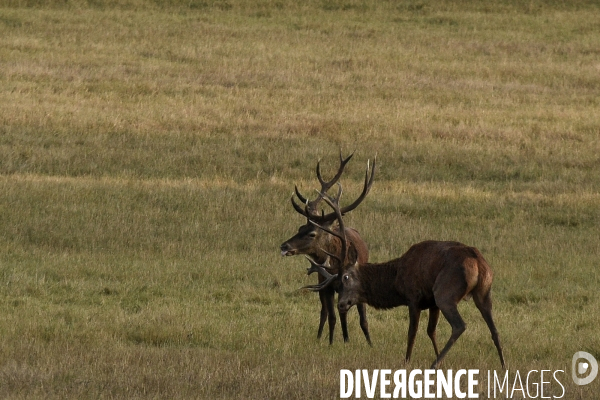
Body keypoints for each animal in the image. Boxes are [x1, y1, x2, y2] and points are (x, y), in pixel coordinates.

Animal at [282, 152, 376, 346]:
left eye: (312, 233)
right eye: (300, 228)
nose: (284, 245)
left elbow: (362, 318)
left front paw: (369, 343)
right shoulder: (326, 286)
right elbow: (331, 316)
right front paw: (331, 342)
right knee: (326, 312)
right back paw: (324, 336)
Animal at [308, 192, 508, 370]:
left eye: (346, 277)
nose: (341, 304)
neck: (396, 281)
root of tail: (477, 262)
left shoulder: (414, 298)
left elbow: (412, 332)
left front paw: (407, 361)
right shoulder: (432, 303)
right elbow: (431, 331)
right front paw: (440, 360)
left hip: (445, 292)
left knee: (459, 325)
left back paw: (433, 364)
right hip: (484, 292)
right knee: (495, 330)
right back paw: (504, 365)